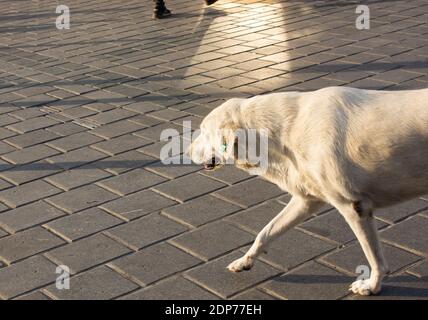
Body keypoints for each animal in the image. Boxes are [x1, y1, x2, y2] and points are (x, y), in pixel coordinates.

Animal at [189, 86, 428, 296]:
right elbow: (265, 232)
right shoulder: (306, 200)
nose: (187, 150)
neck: (283, 133)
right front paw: (244, 261)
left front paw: (372, 285)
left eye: (204, 132)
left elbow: (374, 258)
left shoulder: (353, 207)